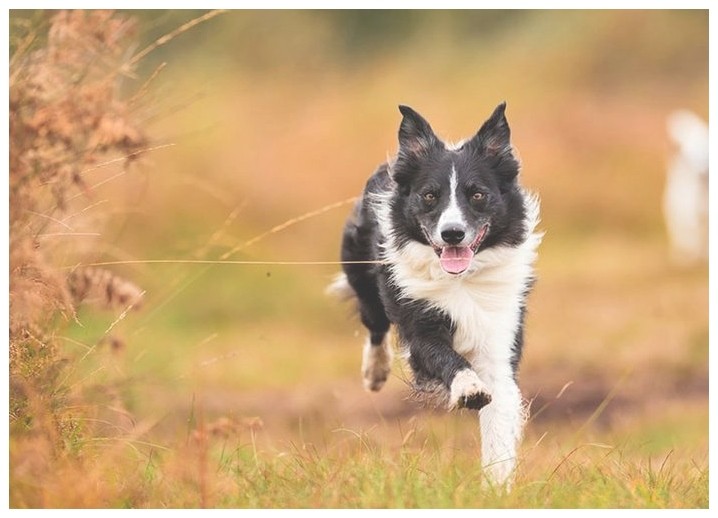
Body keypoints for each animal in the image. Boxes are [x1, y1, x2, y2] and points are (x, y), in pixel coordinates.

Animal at [334, 102, 544, 488]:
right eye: (430, 195)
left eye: (477, 194)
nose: (452, 234)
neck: (461, 280)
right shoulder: (420, 328)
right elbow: (446, 357)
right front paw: (468, 388)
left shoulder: (499, 339)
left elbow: (498, 422)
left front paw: (496, 488)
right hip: (362, 274)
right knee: (375, 324)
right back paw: (375, 372)